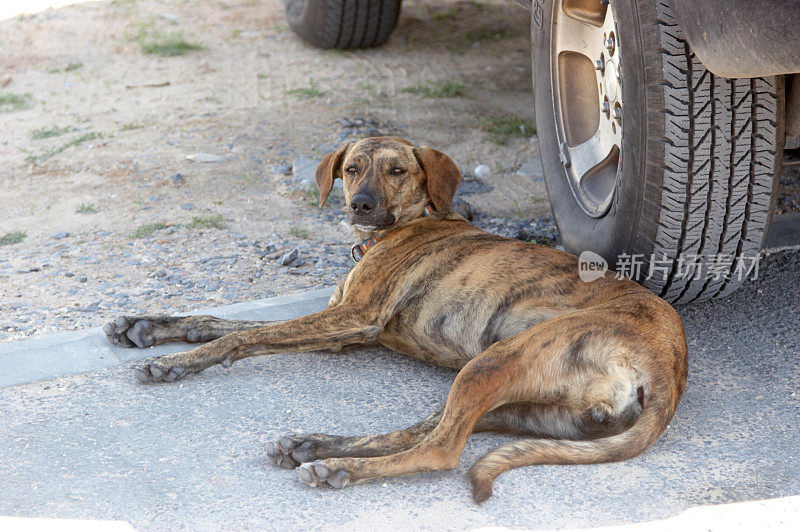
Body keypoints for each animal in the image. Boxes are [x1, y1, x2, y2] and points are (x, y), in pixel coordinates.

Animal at [103, 135, 688, 500]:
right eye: (351, 169)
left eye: (398, 170)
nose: (359, 204)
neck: (405, 223)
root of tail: (669, 362)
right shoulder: (340, 326)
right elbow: (234, 326)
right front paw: (150, 325)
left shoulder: (353, 318)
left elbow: (248, 336)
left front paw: (178, 363)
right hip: (526, 404)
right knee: (429, 429)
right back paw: (316, 445)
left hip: (494, 362)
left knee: (440, 449)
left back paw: (337, 467)